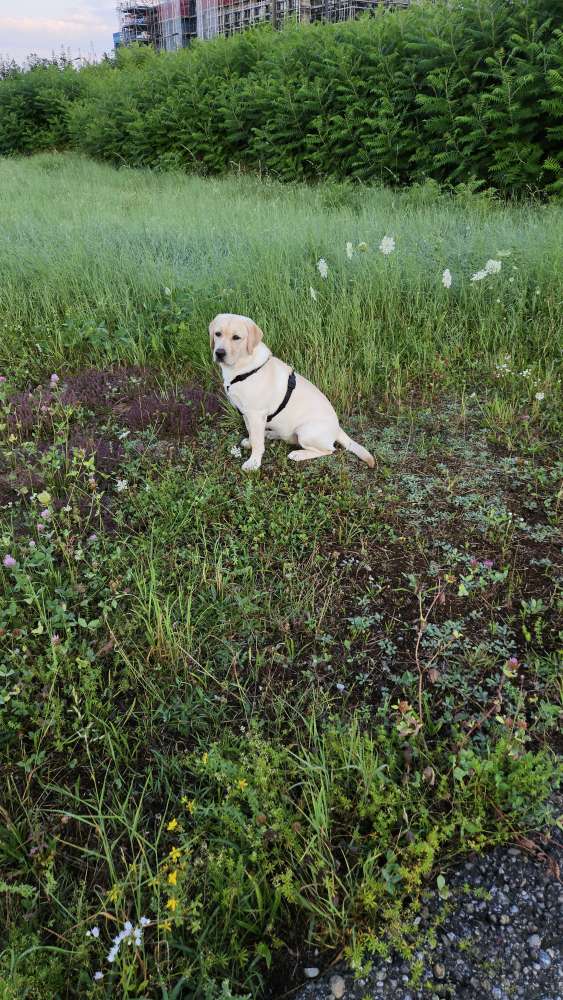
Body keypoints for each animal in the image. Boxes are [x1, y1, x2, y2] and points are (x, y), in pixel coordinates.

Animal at [208, 312, 374, 472]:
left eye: (236, 337)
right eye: (217, 334)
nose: (219, 353)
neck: (243, 368)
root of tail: (338, 429)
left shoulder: (256, 413)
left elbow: (257, 441)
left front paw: (253, 462)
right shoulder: (246, 413)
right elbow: (252, 433)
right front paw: (250, 443)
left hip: (306, 431)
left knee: (329, 450)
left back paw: (299, 454)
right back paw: (270, 433)